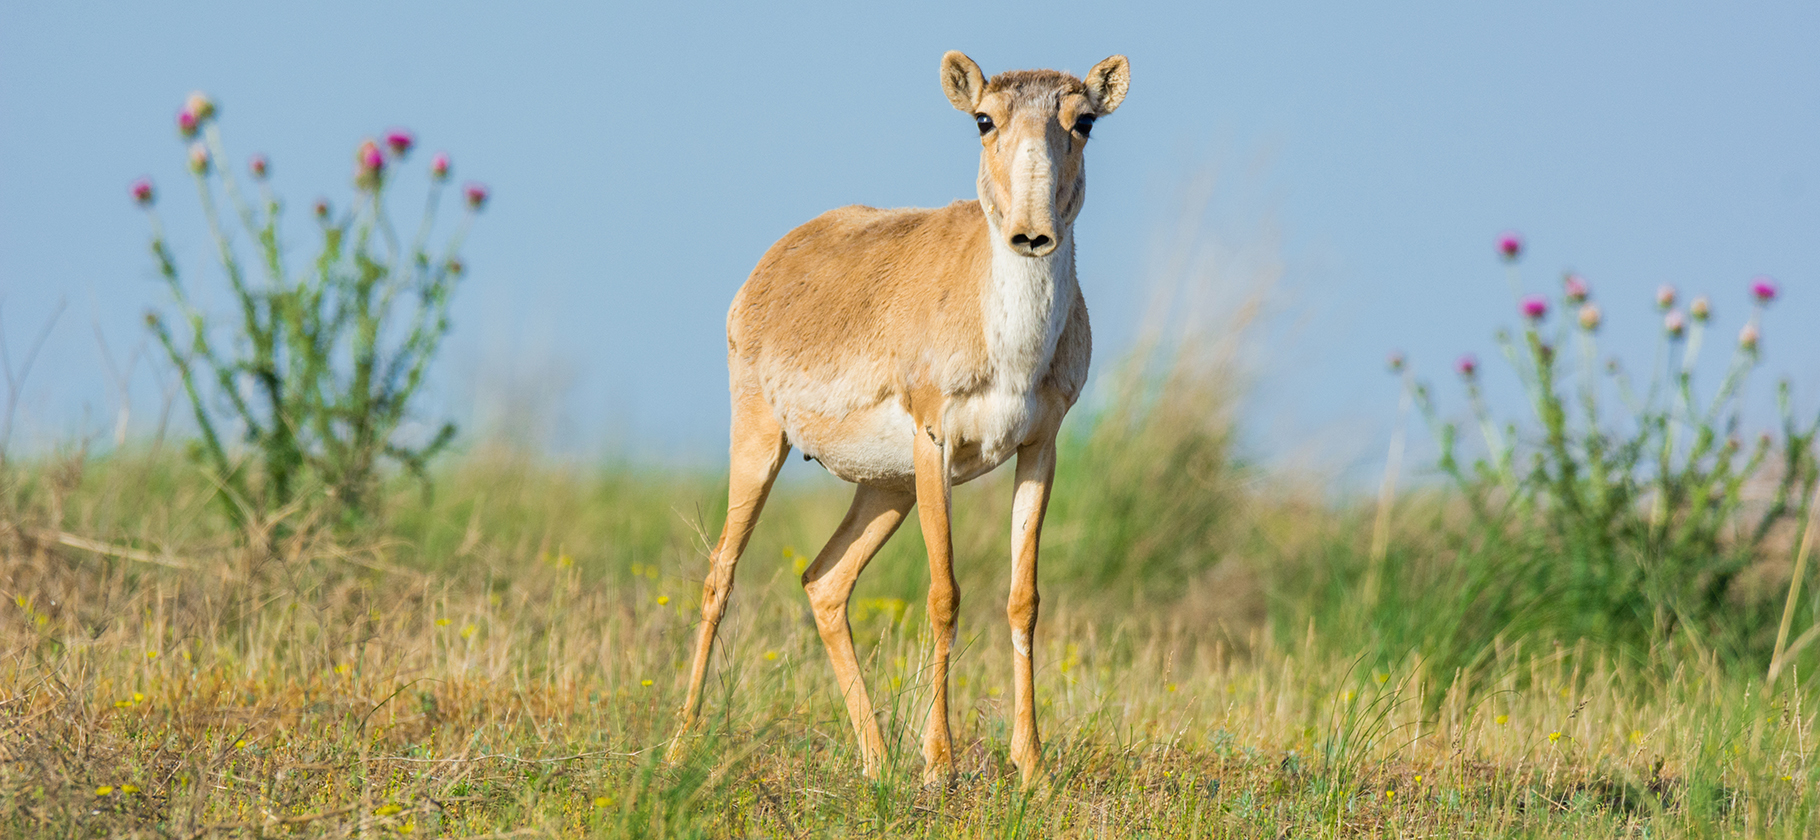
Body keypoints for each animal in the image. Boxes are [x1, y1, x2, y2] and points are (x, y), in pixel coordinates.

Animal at [673, 50, 1121, 789]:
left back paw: (877, 761)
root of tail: (772, 262)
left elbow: (1023, 598)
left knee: (824, 582)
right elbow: (944, 594)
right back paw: (680, 749)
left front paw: (1030, 765)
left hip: (883, 488)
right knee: (719, 575)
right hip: (762, 444)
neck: (1011, 344)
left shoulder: (1039, 449)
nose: (1032, 234)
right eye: (983, 119)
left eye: (1083, 119)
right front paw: (940, 764)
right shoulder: (934, 442)